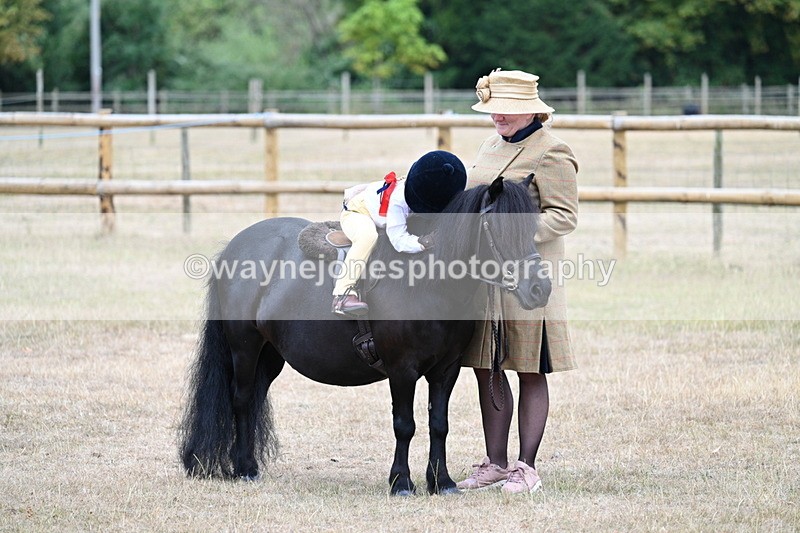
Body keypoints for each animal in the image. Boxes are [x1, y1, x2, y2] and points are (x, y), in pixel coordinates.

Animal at [177, 175, 552, 495]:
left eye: (533, 226)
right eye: (501, 226)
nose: (540, 289)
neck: (429, 282)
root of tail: (234, 247)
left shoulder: (446, 370)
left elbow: (438, 424)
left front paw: (441, 482)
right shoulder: (402, 369)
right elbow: (405, 424)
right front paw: (401, 483)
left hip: (269, 356)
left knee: (253, 398)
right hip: (244, 347)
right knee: (241, 400)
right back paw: (245, 469)